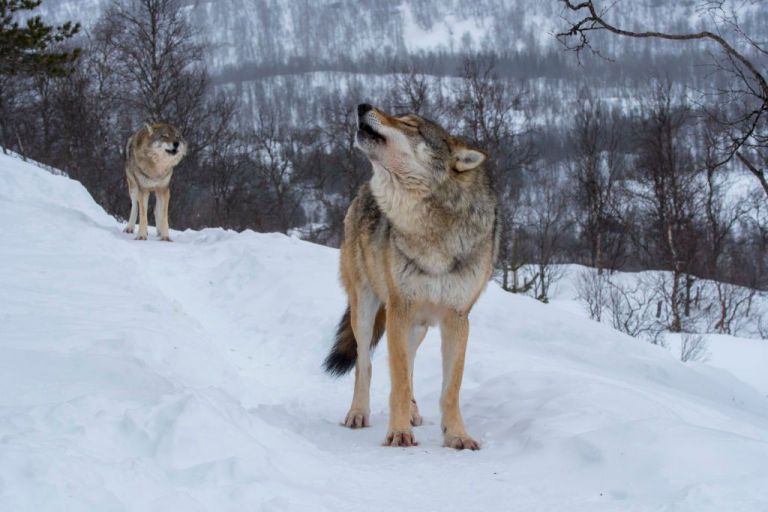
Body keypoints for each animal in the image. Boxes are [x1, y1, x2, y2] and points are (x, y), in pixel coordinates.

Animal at [322, 103, 498, 448]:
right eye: (402, 118)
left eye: (410, 126)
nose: (363, 105)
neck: (429, 228)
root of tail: (363, 189)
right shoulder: (399, 309)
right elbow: (398, 380)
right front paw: (399, 432)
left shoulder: (457, 318)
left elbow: (450, 388)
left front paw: (457, 435)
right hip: (368, 310)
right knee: (365, 364)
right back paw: (358, 413)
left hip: (417, 326)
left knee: (410, 365)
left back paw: (415, 413)